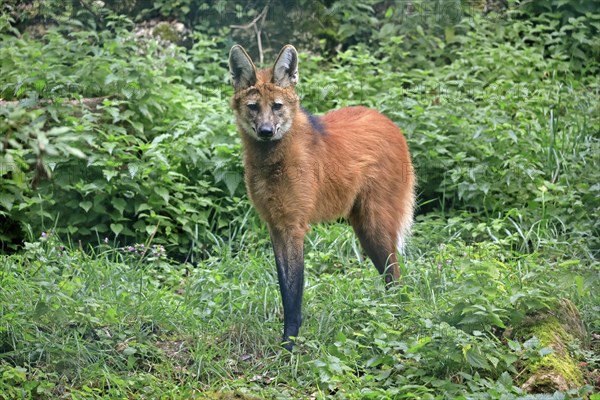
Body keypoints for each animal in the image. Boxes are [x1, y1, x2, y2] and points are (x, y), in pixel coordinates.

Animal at [227, 44, 414, 350]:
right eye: (253, 107)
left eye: (277, 106)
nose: (266, 131)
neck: (273, 162)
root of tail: (390, 122)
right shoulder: (276, 226)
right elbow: (284, 287)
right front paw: (287, 342)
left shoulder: (294, 226)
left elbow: (293, 294)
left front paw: (289, 346)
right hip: (363, 228)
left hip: (374, 227)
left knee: (396, 278)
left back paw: (395, 320)